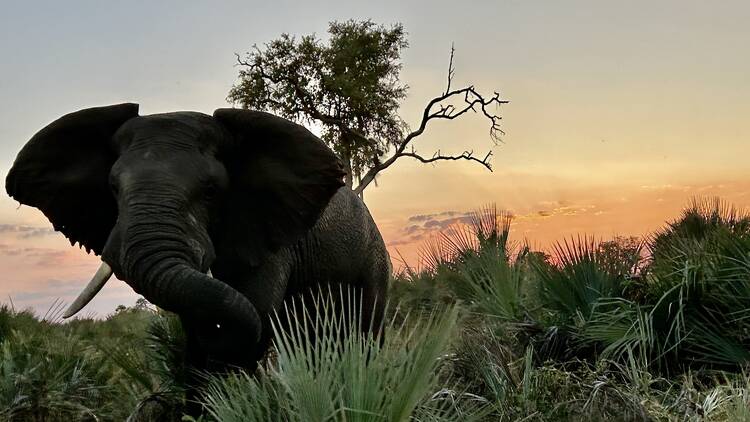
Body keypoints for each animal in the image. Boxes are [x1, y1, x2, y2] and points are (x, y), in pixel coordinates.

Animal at [4, 103, 394, 416]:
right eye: (113, 188)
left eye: (210, 191)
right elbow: (198, 336)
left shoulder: (269, 239)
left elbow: (248, 318)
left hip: (374, 265)